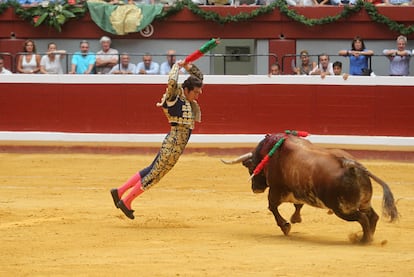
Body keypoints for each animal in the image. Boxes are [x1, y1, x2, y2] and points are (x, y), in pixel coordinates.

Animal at [222, 133, 400, 243]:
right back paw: (369, 237)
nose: (255, 188)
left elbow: (272, 207)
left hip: (343, 209)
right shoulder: (298, 191)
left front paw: (286, 226)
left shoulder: (275, 190)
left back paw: (363, 240)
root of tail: (351, 165)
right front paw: (295, 219)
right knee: (373, 217)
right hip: (363, 202)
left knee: (362, 218)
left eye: (251, 167)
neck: (271, 153)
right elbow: (298, 205)